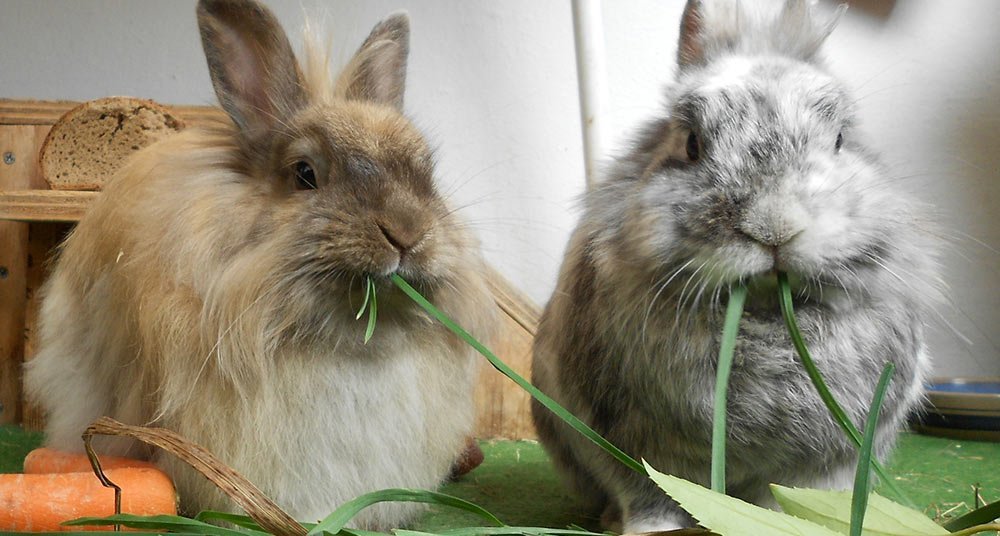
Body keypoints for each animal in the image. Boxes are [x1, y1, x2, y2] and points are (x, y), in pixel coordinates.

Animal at [532, 0, 936, 532]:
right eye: (691, 143)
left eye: (840, 140)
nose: (774, 225)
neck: (765, 310)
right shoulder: (627, 442)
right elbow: (648, 495)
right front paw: (648, 530)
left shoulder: (825, 464)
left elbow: (788, 498)